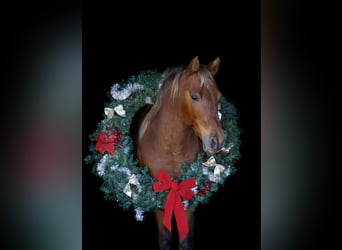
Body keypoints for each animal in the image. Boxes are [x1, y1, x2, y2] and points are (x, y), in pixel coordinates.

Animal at [135, 56, 226, 250]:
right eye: (194, 96)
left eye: (218, 97)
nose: (217, 140)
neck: (171, 148)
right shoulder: (157, 194)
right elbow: (165, 237)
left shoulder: (190, 194)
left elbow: (186, 240)